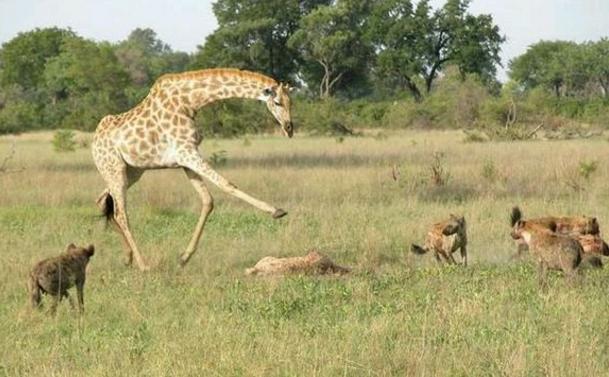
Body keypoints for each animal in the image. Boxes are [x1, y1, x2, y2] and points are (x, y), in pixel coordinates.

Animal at [91, 68, 296, 270]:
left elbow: (207, 200)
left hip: (132, 171)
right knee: (120, 213)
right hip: (114, 169)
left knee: (103, 201)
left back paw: (128, 257)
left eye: (291, 102)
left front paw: (184, 258)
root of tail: (94, 141)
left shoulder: (186, 159)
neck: (189, 102)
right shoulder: (186, 152)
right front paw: (276, 211)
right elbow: (226, 185)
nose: (289, 128)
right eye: (277, 102)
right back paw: (143, 265)